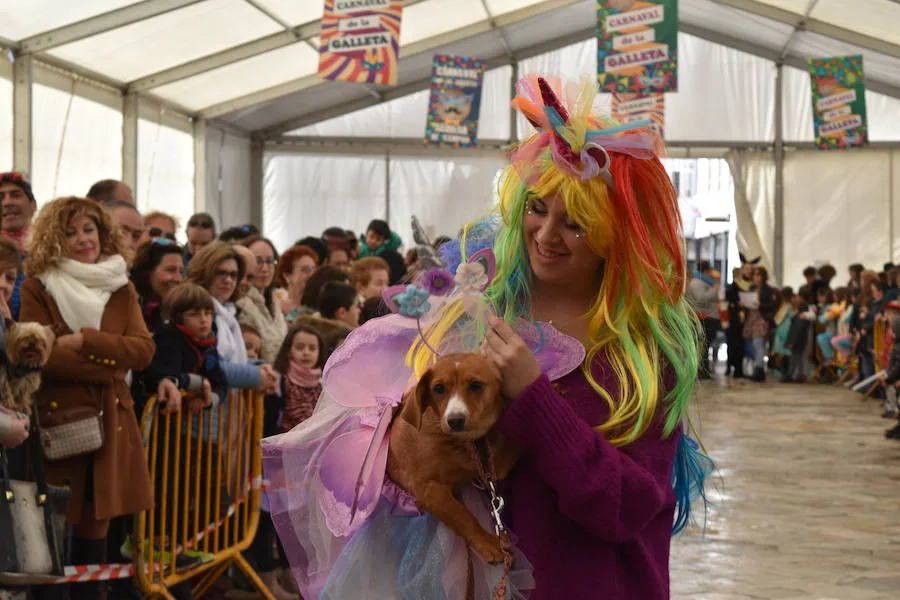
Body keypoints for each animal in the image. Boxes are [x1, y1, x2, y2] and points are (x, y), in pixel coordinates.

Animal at [386, 352, 520, 564]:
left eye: (476, 385)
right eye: (439, 388)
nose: (455, 420)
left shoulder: (495, 467)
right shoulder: (430, 490)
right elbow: (463, 517)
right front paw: (487, 543)